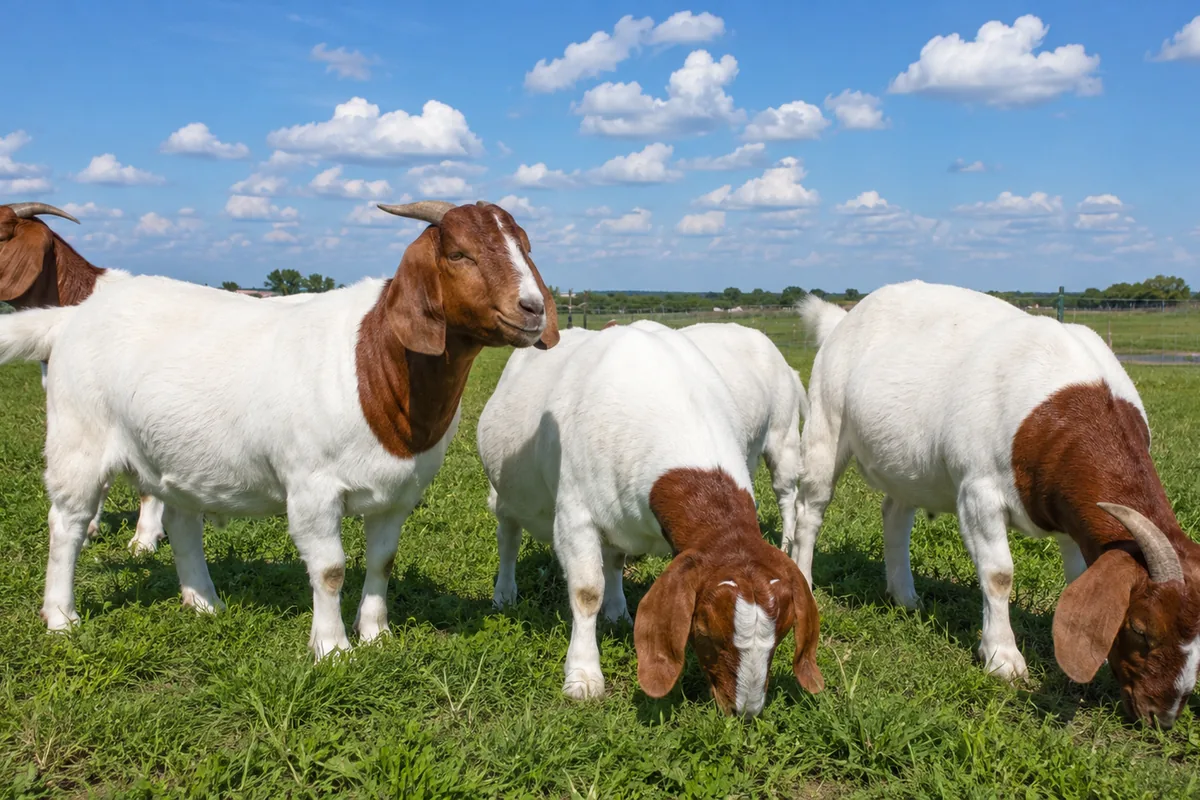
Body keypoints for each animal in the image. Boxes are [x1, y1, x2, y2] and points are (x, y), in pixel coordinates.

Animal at [477, 325, 822, 716]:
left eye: (782, 634)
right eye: (705, 630)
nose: (745, 710)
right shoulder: (574, 515)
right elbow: (586, 591)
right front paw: (583, 676)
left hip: (782, 436)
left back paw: (617, 612)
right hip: (506, 492)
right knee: (508, 536)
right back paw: (505, 594)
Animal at [793, 280, 1200, 728]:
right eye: (1142, 628)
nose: (1162, 715)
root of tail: (843, 319)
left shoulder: (1073, 519)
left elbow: (1076, 578)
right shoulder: (978, 493)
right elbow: (999, 574)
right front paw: (1003, 658)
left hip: (907, 466)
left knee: (895, 515)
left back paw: (905, 597)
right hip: (825, 421)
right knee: (811, 509)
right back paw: (806, 581)